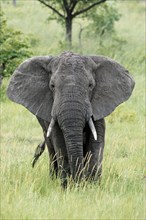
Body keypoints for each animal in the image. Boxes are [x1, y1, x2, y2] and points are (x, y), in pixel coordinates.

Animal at [6, 51, 135, 187]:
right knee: (51, 149)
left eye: (90, 85)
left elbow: (96, 141)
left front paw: (92, 186)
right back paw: (54, 179)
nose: (78, 182)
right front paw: (68, 186)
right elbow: (60, 142)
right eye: (52, 86)